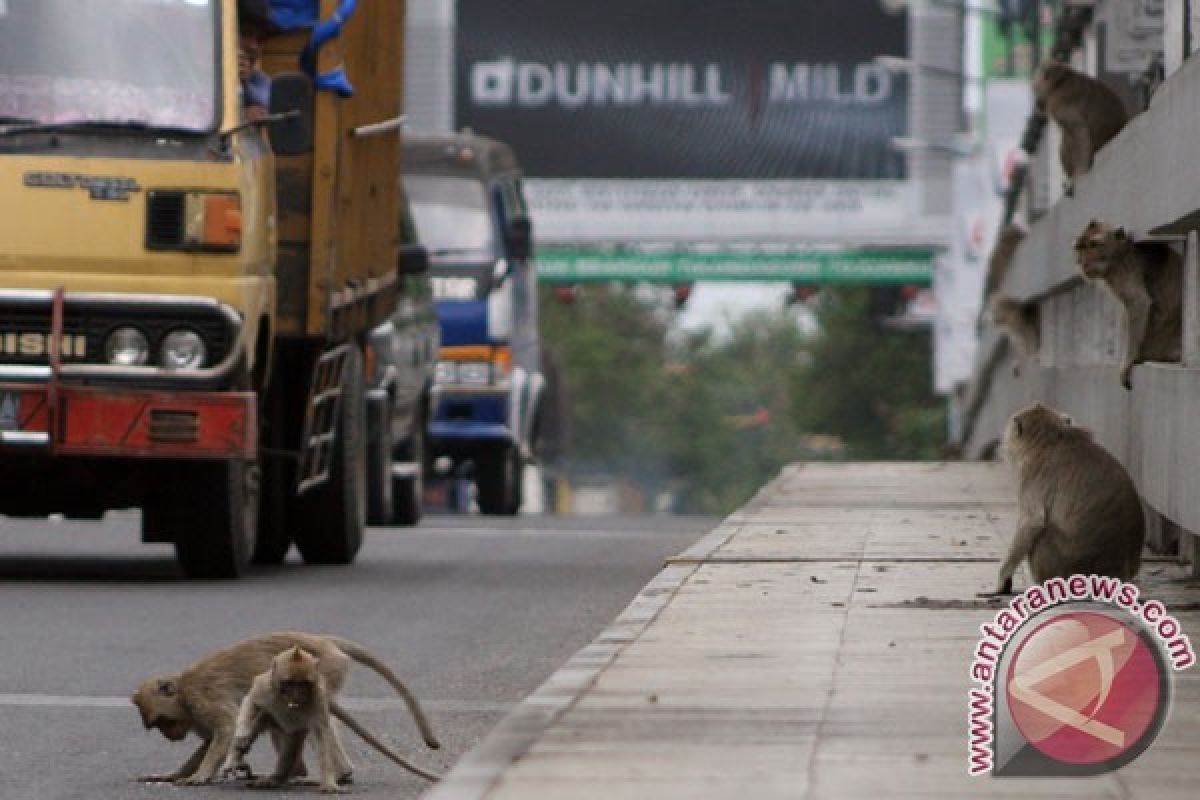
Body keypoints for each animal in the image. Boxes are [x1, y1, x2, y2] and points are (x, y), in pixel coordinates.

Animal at [131, 633, 441, 786]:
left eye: (164, 721)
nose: (170, 736)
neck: (184, 689)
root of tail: (327, 642)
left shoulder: (202, 699)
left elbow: (226, 729)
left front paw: (200, 775)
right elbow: (211, 739)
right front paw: (175, 775)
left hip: (325, 674)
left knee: (298, 716)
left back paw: (329, 775)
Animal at [984, 402, 1142, 597]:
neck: (1050, 439)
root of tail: (1116, 574)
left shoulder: (1031, 473)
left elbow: (1032, 522)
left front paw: (1003, 579)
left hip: (1066, 567)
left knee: (1044, 533)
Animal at [1036, 60, 1128, 193]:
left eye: (1036, 88)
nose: (1037, 102)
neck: (1060, 85)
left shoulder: (1065, 106)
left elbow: (1080, 132)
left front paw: (1079, 173)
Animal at [1075, 220, 1185, 388]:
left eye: (1094, 244)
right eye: (1080, 248)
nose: (1082, 262)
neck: (1119, 253)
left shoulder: (1124, 270)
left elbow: (1138, 302)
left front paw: (1127, 362)